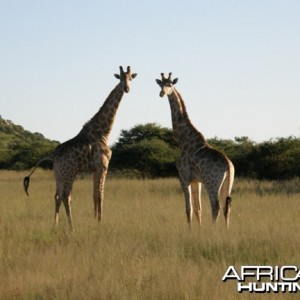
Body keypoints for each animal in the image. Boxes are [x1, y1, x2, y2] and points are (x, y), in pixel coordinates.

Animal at [24, 66, 138, 230]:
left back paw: (55, 226)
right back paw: (72, 227)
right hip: (70, 174)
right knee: (66, 196)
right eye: (121, 78)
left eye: (130, 78)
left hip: (59, 175)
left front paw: (95, 220)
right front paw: (100, 222)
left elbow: (94, 195)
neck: (103, 131)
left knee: (57, 196)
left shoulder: (95, 169)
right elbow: (100, 195)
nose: (127, 89)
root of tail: (53, 155)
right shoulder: (103, 166)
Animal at [156, 74, 236, 229]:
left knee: (216, 206)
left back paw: (214, 230)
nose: (162, 93)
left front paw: (190, 230)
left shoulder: (184, 177)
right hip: (227, 183)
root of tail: (229, 167)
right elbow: (198, 208)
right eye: (160, 84)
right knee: (227, 206)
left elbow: (189, 208)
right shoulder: (196, 180)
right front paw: (198, 229)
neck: (183, 140)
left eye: (170, 84)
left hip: (212, 183)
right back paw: (226, 230)